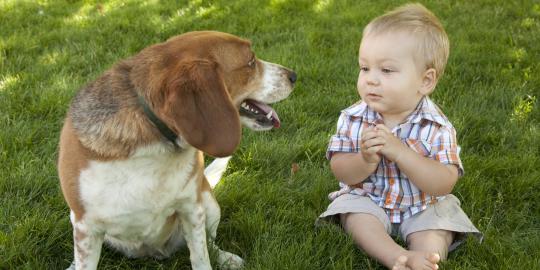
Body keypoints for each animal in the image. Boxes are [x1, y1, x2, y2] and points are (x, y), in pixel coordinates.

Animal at [58, 30, 296, 268]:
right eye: (251, 61)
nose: (293, 75)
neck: (156, 146)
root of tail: (155, 252)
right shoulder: (85, 227)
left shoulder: (191, 208)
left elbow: (201, 257)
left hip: (209, 203)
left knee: (211, 243)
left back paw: (225, 258)